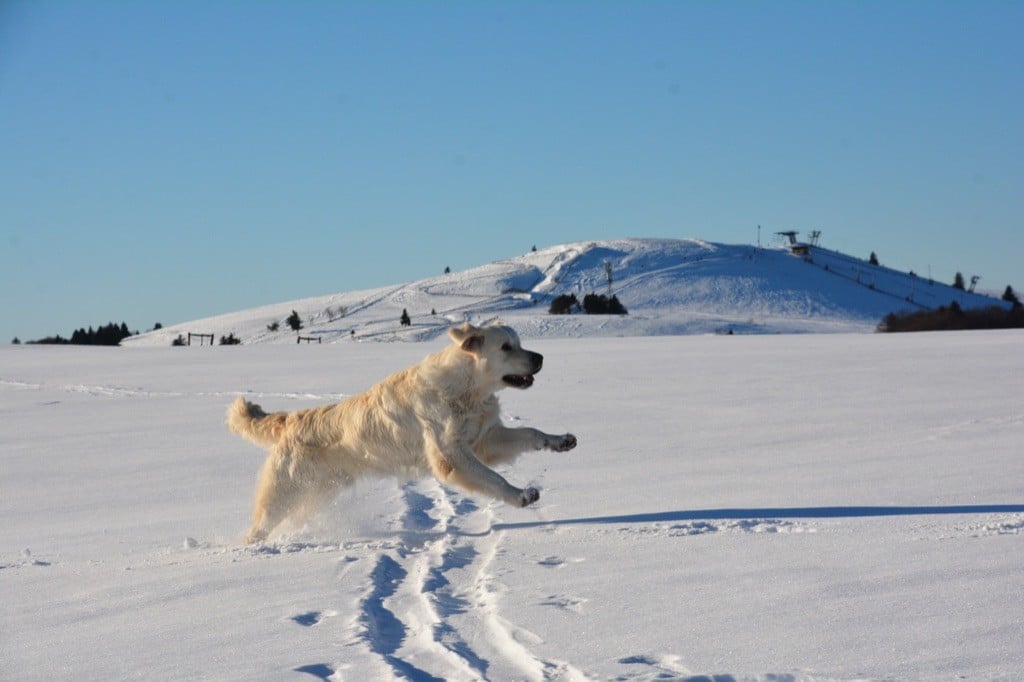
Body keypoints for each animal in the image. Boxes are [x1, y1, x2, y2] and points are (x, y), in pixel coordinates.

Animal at [226, 319, 577, 540]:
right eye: (506, 347)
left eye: (520, 343)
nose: (540, 357)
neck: (465, 389)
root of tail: (293, 419)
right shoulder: (452, 456)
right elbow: (494, 479)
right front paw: (521, 495)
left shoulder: (484, 439)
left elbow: (530, 433)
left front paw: (560, 440)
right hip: (284, 493)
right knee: (259, 527)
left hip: (317, 495)